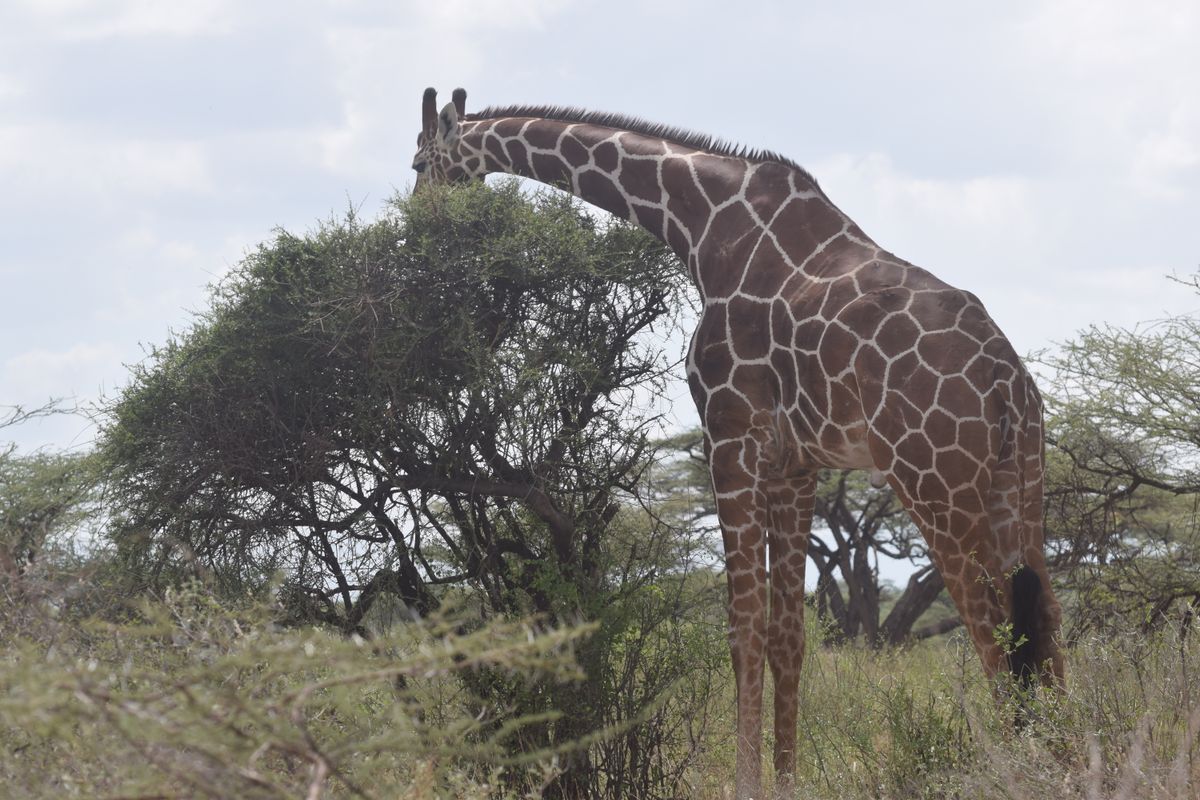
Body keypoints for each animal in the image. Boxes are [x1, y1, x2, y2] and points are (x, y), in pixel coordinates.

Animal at [411, 87, 1065, 799]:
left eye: (418, 163)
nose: (413, 228)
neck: (701, 228)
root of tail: (1006, 378)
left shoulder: (728, 434)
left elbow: (743, 629)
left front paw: (746, 781)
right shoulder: (796, 465)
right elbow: (788, 635)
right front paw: (786, 780)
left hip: (934, 480)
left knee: (995, 624)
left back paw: (1015, 769)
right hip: (1018, 482)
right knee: (1046, 617)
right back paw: (1062, 754)